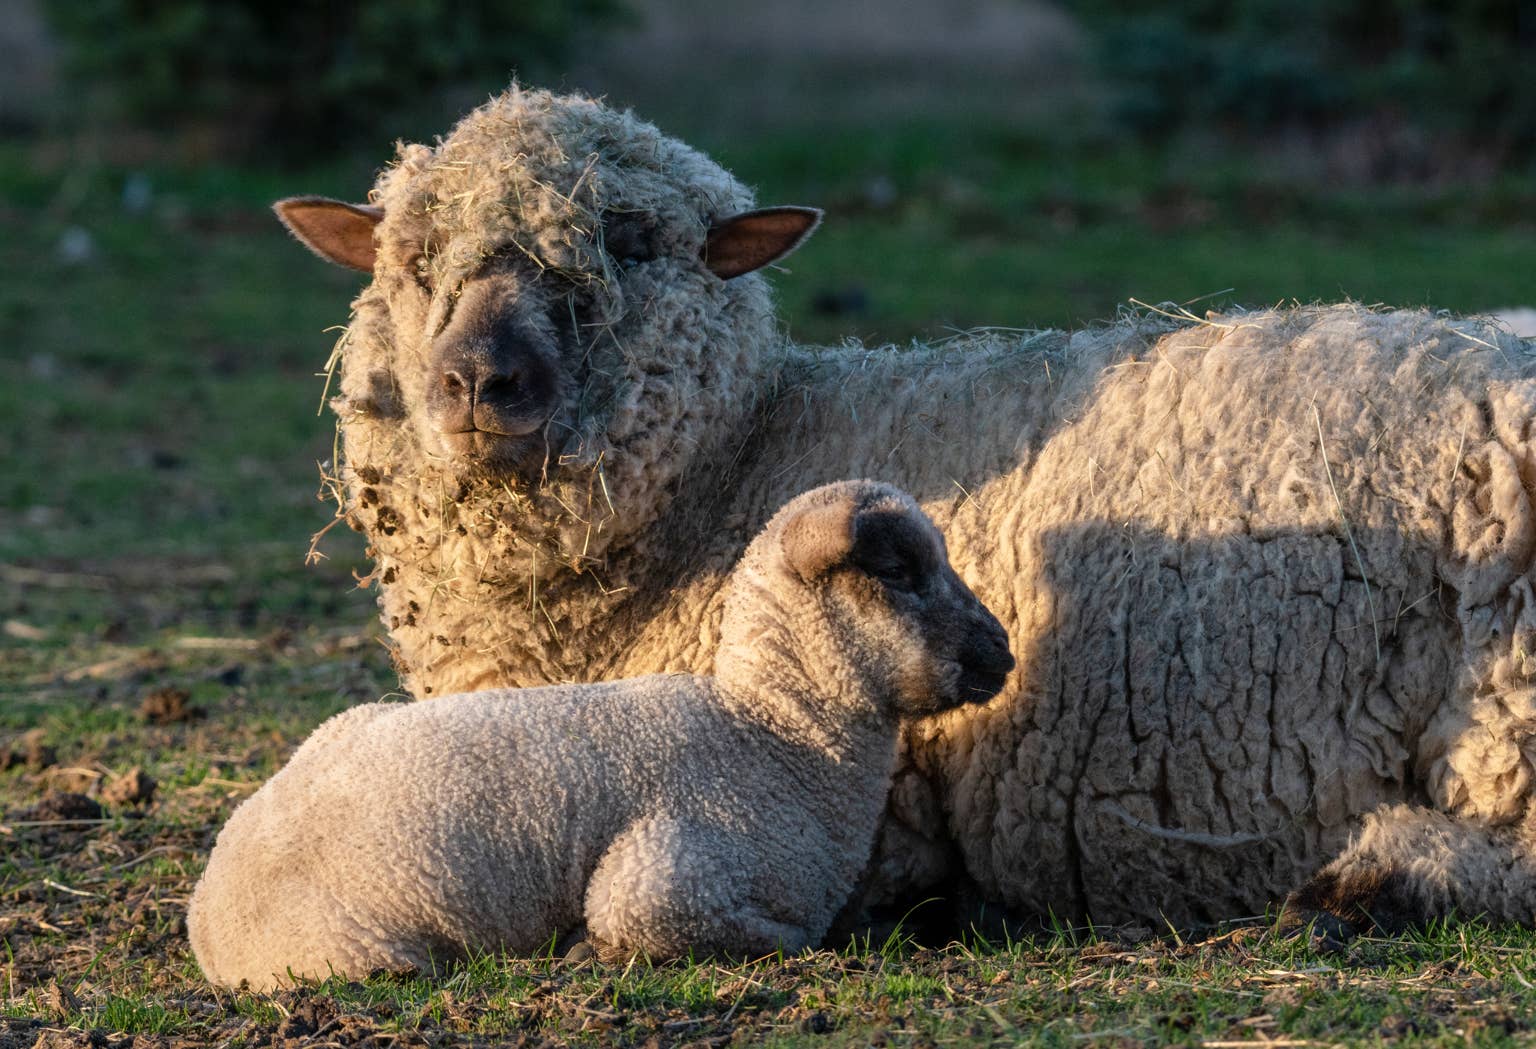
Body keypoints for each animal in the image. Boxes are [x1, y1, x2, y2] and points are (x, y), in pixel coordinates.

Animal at [186, 480, 1013, 989]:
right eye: (898, 569)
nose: (1003, 653)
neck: (773, 735)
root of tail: (209, 892)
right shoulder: (665, 881)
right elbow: (770, 937)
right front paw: (586, 951)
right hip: (354, 951)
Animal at [275, 84, 1536, 934]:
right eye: (411, 255)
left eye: (628, 245)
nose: (479, 381)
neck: (741, 459)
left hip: (1504, 698)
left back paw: (1377, 875)